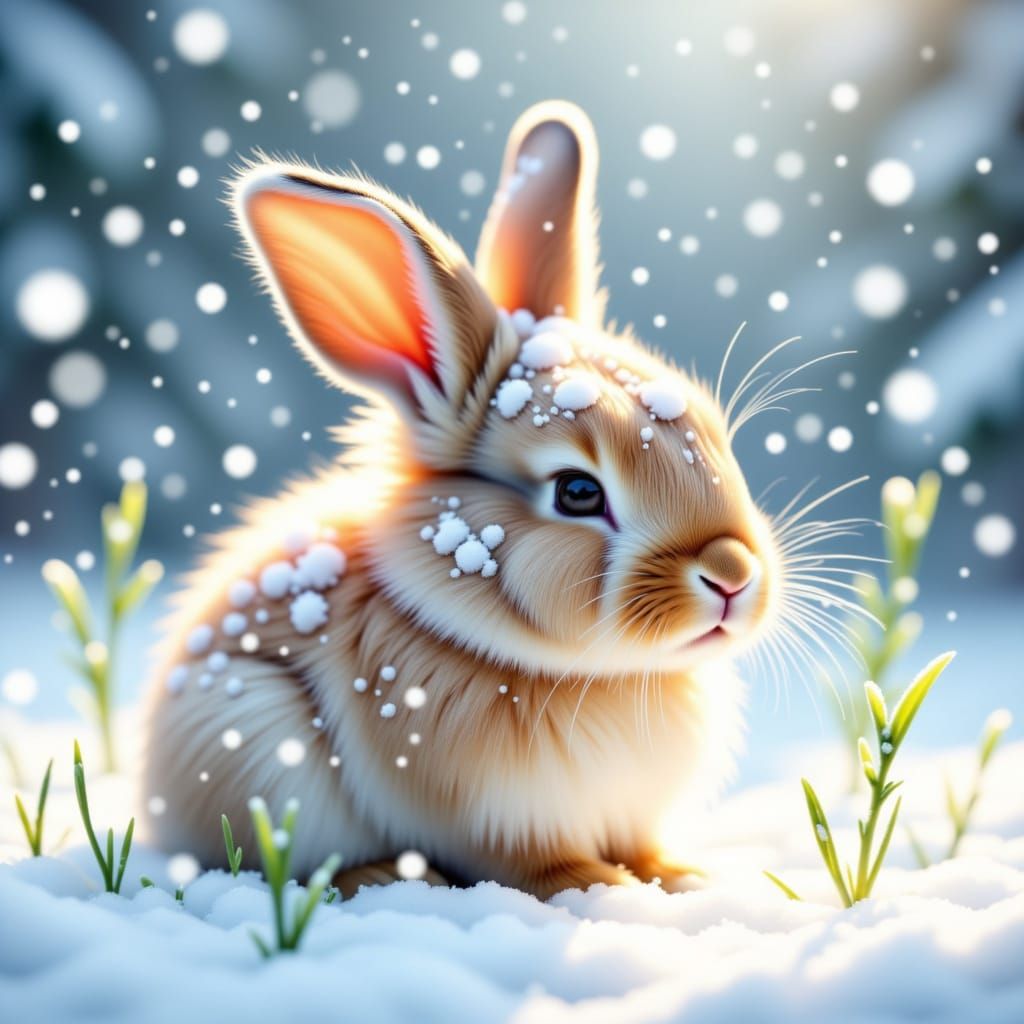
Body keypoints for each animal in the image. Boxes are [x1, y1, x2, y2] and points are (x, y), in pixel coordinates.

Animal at [142, 100, 786, 901]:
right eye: (578, 492)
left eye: (715, 433)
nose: (733, 574)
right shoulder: (489, 816)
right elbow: (533, 865)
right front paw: (601, 886)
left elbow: (643, 847)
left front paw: (680, 877)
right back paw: (380, 875)